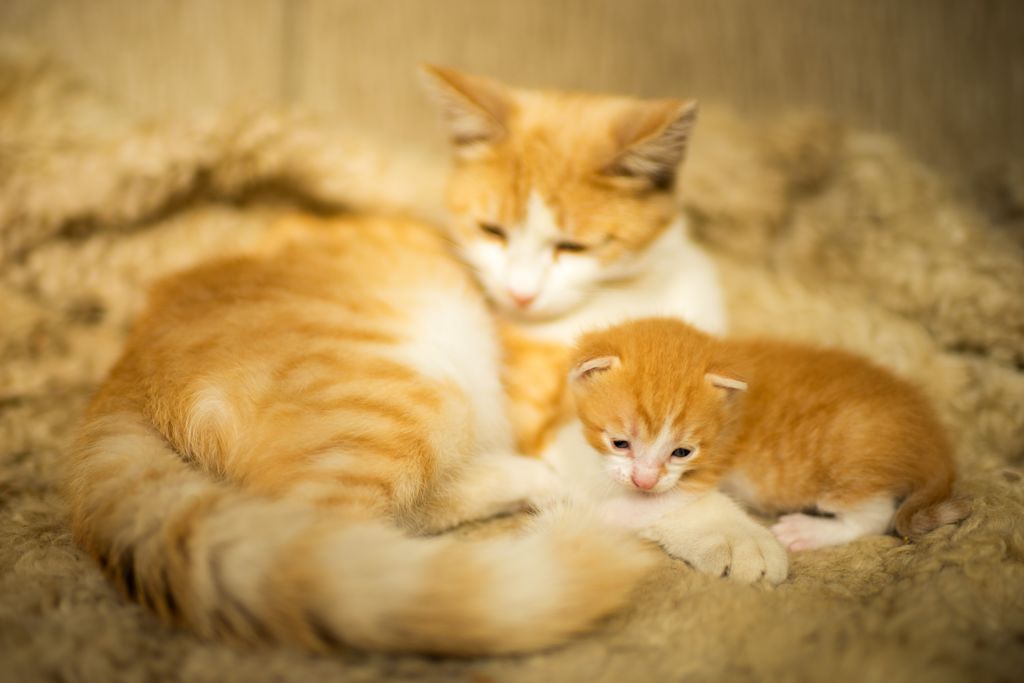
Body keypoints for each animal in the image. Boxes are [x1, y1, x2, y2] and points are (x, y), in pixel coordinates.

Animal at [569, 317, 966, 552]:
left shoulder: (708, 466)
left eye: (682, 452)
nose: (644, 480)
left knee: (876, 515)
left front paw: (593, 515)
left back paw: (809, 531)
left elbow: (649, 503)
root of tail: (931, 432)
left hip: (853, 455)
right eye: (619, 443)